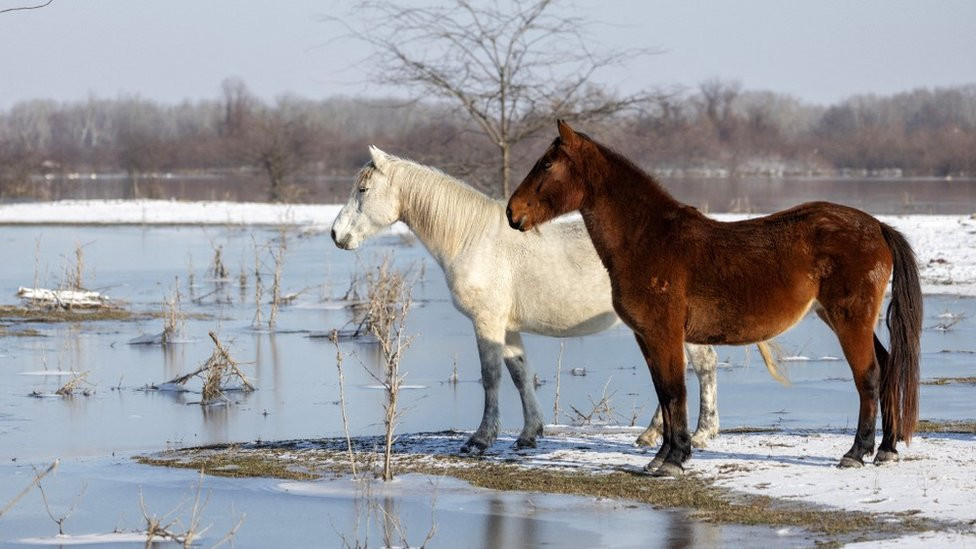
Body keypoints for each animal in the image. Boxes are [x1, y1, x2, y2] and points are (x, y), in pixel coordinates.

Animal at [336, 147, 776, 454]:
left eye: (363, 189)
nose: (336, 234)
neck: (473, 238)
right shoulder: (507, 327)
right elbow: (519, 374)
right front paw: (529, 434)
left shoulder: (486, 322)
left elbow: (491, 378)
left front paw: (480, 439)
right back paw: (654, 434)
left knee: (702, 367)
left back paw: (700, 434)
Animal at [510, 120, 924, 476]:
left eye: (546, 164)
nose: (513, 212)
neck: (649, 239)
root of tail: (878, 226)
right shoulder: (647, 337)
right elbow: (664, 393)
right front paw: (662, 456)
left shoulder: (664, 334)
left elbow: (674, 391)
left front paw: (675, 459)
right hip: (845, 318)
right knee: (888, 366)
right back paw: (887, 448)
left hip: (849, 318)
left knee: (868, 375)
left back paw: (857, 452)